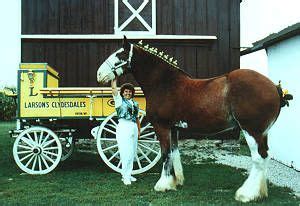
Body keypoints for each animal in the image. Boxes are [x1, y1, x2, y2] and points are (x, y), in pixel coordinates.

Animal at [96, 36, 292, 202]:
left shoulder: (162, 127)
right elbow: (174, 153)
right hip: (262, 133)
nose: (99, 74)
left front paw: (162, 185)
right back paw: (260, 192)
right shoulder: (173, 128)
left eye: (119, 55)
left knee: (259, 158)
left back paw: (247, 194)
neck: (165, 84)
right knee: (265, 157)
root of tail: (274, 87)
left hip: (252, 131)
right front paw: (176, 182)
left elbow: (165, 154)